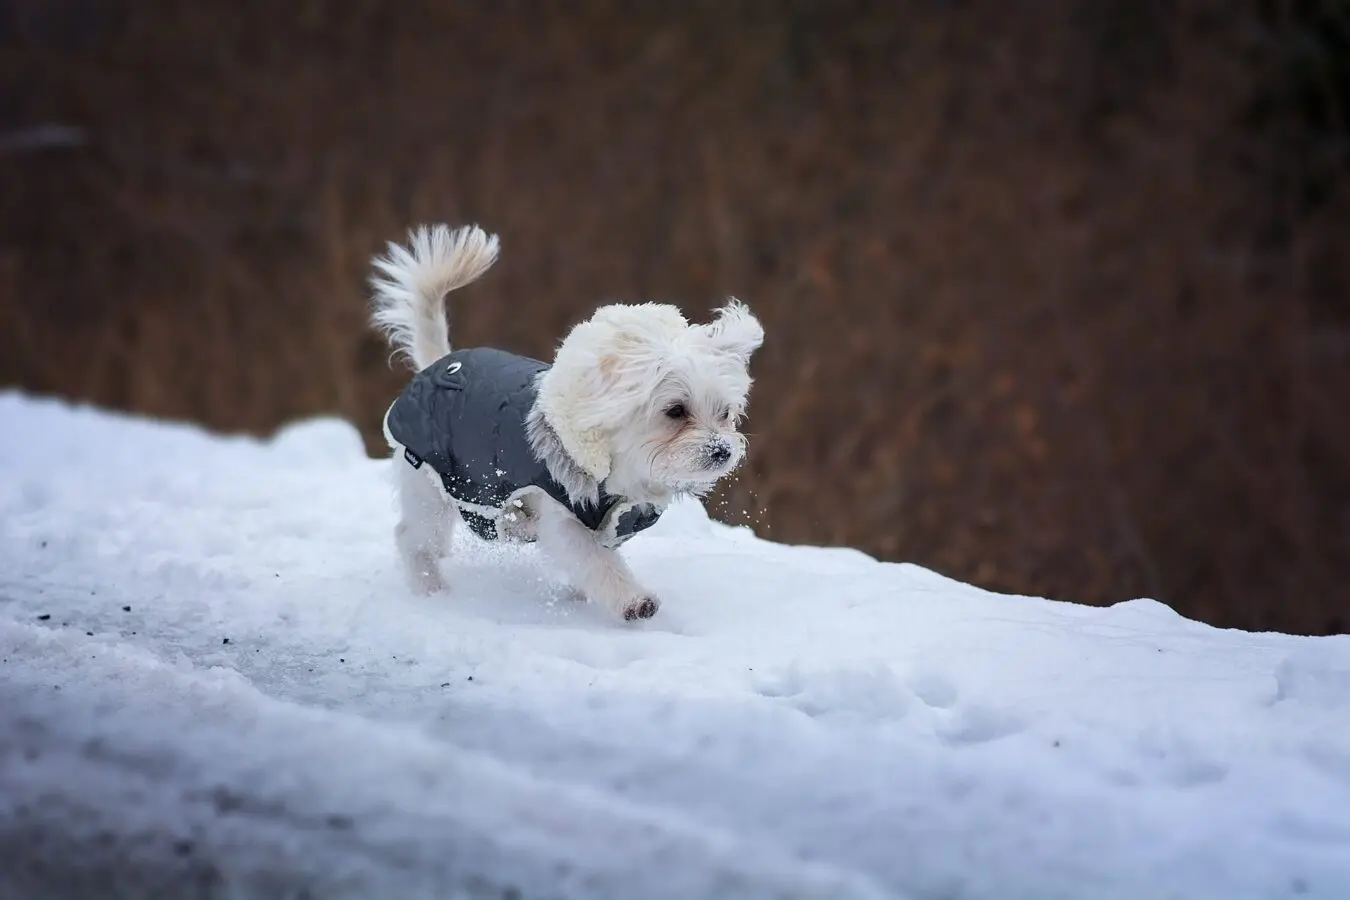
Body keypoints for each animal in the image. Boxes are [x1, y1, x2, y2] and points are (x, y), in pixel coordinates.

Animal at [369, 223, 766, 620]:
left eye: (725, 414)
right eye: (676, 411)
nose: (722, 450)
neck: (620, 470)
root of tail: (436, 365)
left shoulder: (610, 522)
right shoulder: (564, 518)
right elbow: (594, 562)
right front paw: (633, 599)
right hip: (429, 486)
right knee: (413, 539)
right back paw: (431, 589)